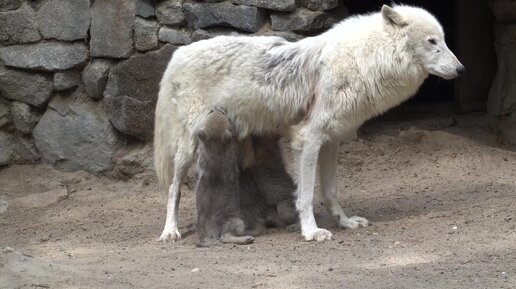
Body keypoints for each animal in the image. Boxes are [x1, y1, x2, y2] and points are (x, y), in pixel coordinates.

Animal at [155, 5, 466, 241]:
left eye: (444, 40)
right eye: (432, 42)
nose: (461, 69)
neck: (362, 59)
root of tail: (178, 54)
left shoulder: (331, 141)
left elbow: (329, 191)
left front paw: (344, 222)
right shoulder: (308, 140)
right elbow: (305, 195)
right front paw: (311, 231)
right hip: (188, 147)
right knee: (172, 189)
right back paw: (170, 231)